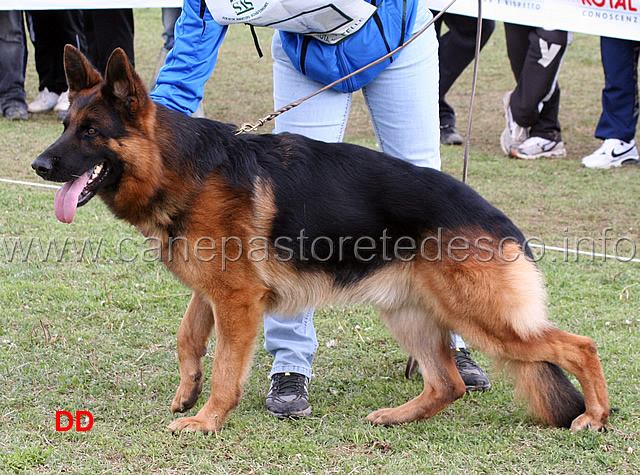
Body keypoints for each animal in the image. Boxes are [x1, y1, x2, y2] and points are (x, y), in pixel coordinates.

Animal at [31, 46, 608, 436]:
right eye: (64, 124)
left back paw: (595, 417)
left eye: (90, 132)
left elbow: (224, 370)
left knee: (579, 345)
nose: (38, 166)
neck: (182, 168)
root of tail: (501, 221)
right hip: (410, 314)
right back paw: (396, 417)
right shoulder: (213, 291)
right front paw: (186, 392)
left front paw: (208, 419)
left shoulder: (238, 301)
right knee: (449, 383)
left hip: (483, 318)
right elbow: (187, 337)